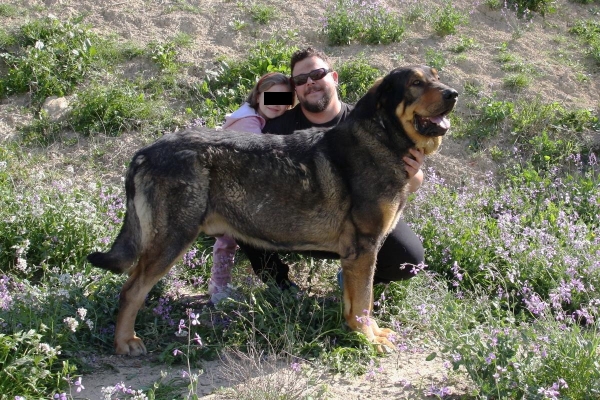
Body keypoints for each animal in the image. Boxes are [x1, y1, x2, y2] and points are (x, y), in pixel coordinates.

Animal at [86, 65, 458, 356]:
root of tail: (144, 152)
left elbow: (354, 302)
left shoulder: (357, 255)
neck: (384, 137)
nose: (454, 94)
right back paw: (125, 342)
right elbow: (364, 302)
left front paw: (360, 331)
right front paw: (368, 339)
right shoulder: (365, 248)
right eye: (415, 83)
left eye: (436, 77)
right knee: (131, 291)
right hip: (173, 238)